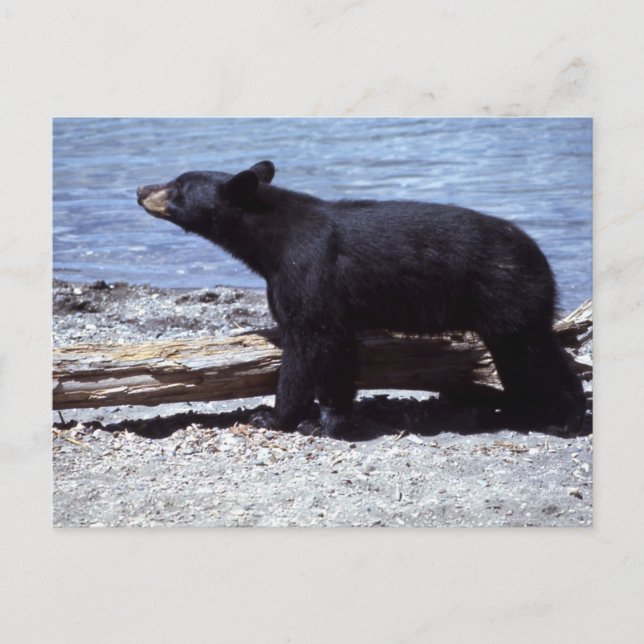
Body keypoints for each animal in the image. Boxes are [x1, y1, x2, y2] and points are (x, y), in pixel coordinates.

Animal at [136, 160, 586, 438]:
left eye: (177, 186)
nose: (140, 188)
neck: (269, 242)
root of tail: (539, 255)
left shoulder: (311, 271)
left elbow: (315, 344)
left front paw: (283, 418)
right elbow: (333, 351)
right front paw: (320, 417)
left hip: (508, 295)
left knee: (534, 355)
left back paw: (565, 419)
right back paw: (515, 411)